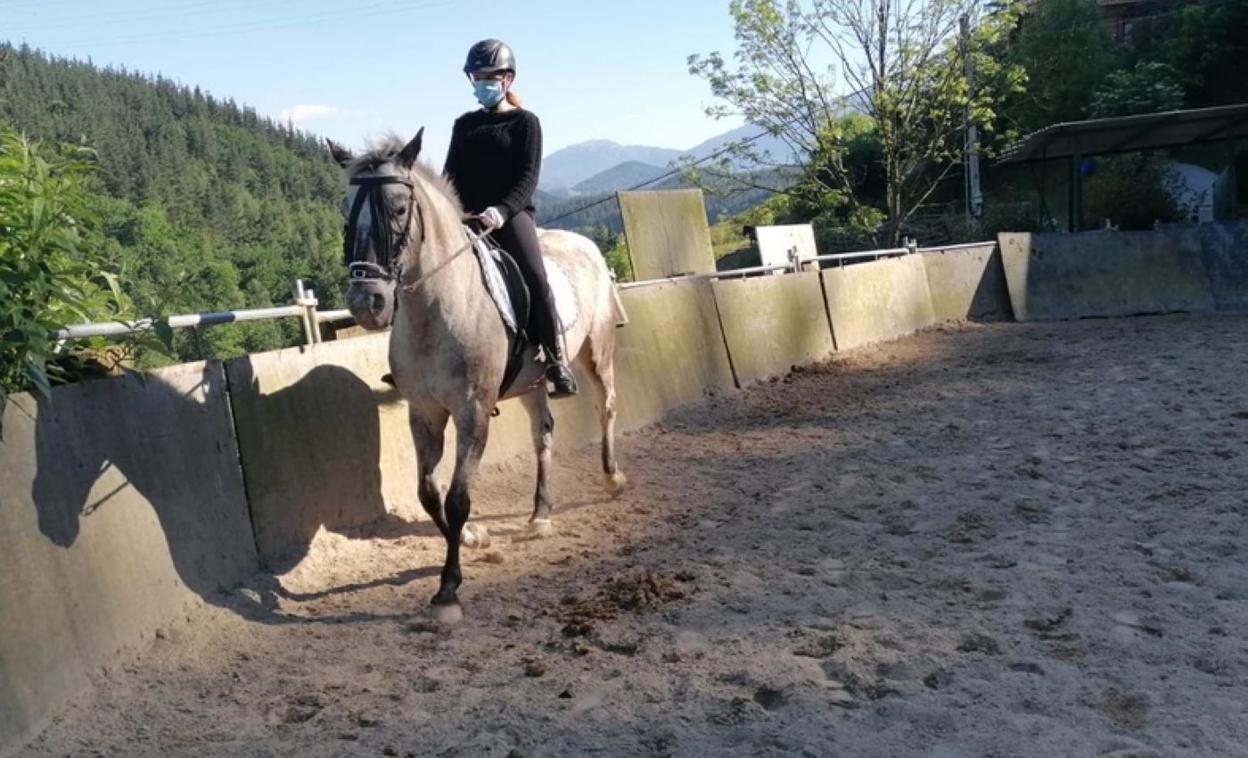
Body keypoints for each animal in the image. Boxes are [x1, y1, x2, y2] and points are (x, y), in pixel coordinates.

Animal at [326, 131, 627, 622]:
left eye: (399, 209)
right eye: (344, 208)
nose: (366, 302)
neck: (436, 309)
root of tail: (585, 244)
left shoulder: (473, 412)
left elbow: (457, 497)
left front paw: (449, 588)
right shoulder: (424, 413)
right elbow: (428, 493)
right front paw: (471, 537)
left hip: (596, 351)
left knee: (607, 406)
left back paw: (612, 479)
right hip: (531, 382)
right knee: (544, 432)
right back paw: (540, 516)